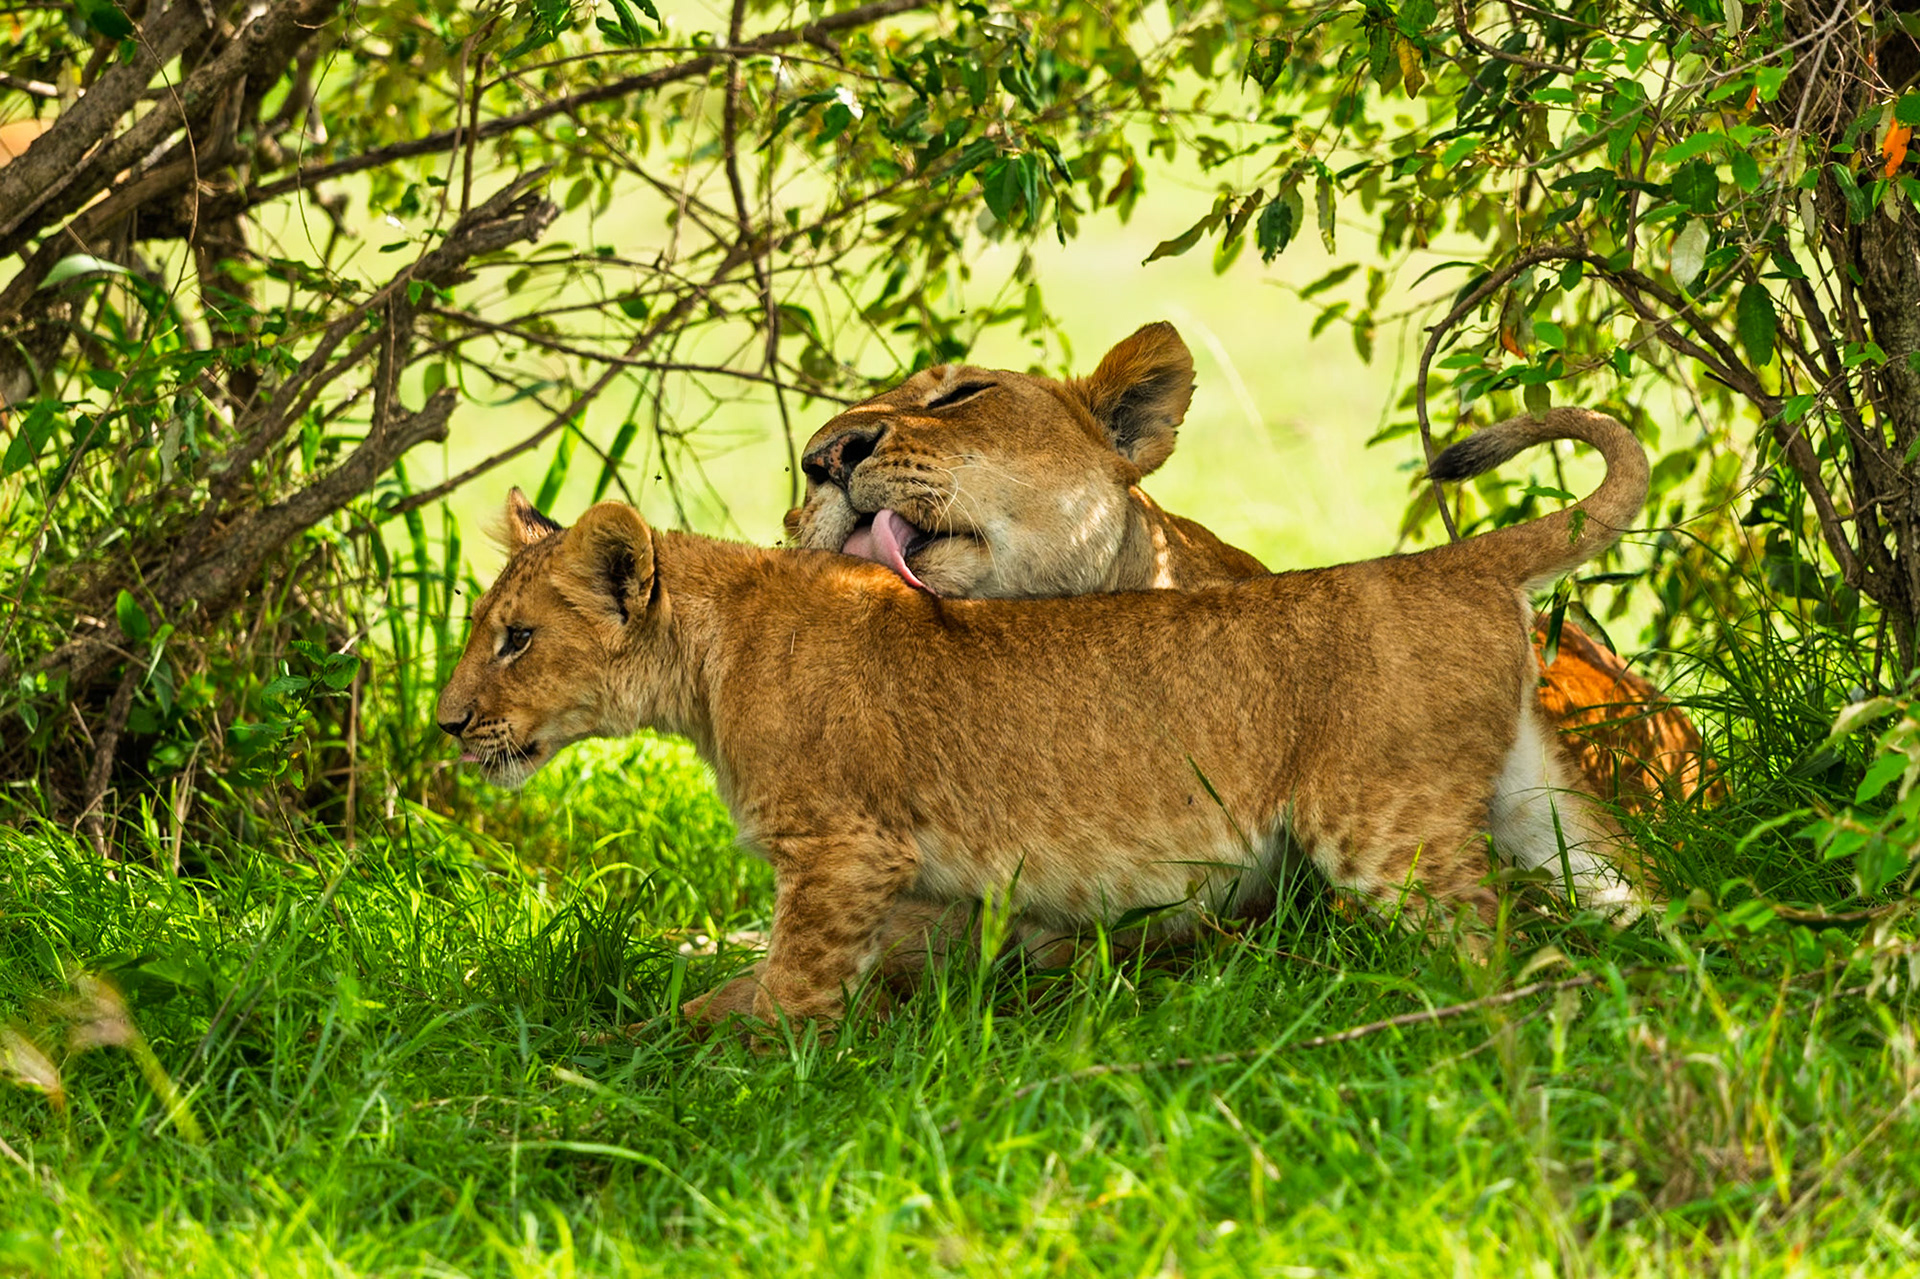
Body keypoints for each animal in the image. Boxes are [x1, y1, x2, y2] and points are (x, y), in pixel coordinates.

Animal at [438, 408, 1649, 1028]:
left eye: (515, 640)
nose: (447, 727)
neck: (709, 651)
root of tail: (1455, 560)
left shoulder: (843, 849)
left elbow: (784, 989)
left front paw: (717, 1070)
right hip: (1539, 806)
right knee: (1628, 896)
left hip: (1378, 825)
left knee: (1492, 941)